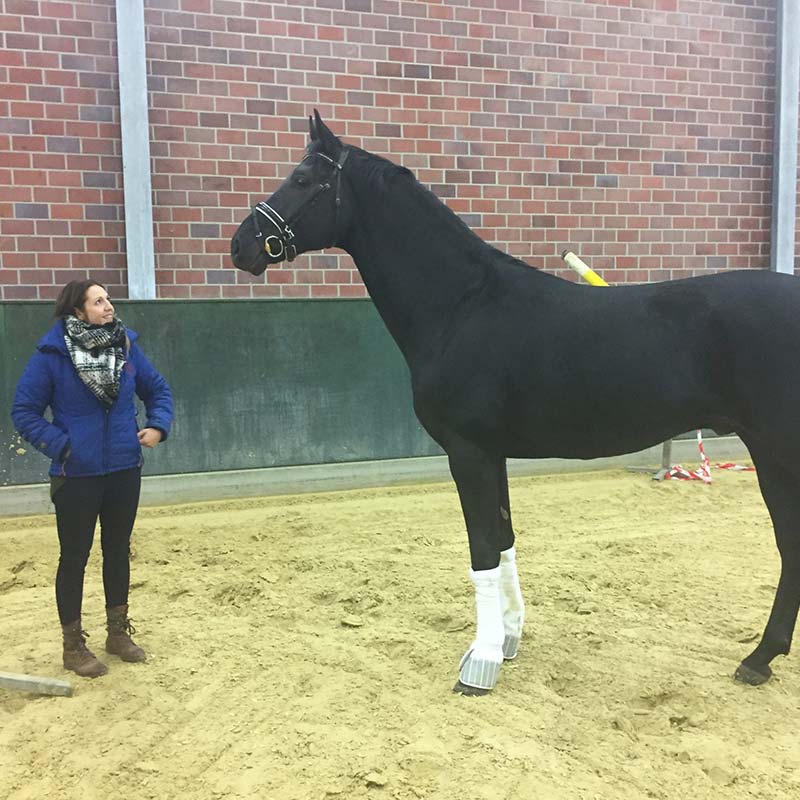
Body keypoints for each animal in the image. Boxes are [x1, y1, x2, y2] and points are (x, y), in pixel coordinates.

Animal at [230, 111, 800, 695]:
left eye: (303, 179)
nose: (242, 245)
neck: (463, 305)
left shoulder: (469, 453)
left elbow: (482, 550)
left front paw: (479, 665)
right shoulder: (492, 454)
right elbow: (503, 542)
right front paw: (506, 640)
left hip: (778, 452)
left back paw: (760, 656)